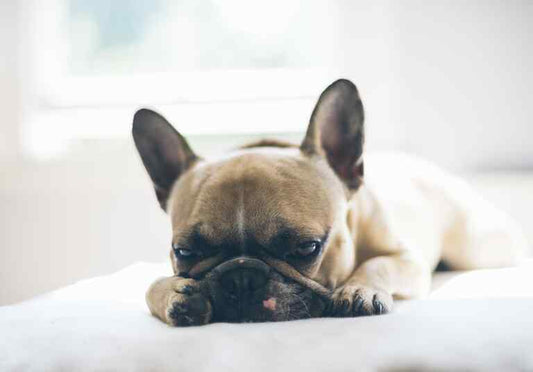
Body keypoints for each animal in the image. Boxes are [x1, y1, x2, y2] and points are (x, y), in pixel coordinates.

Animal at [132, 79, 524, 326]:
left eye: (306, 248)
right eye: (184, 252)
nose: (242, 277)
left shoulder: (406, 259)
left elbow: (378, 264)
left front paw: (358, 289)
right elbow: (149, 286)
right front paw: (172, 294)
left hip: (477, 246)